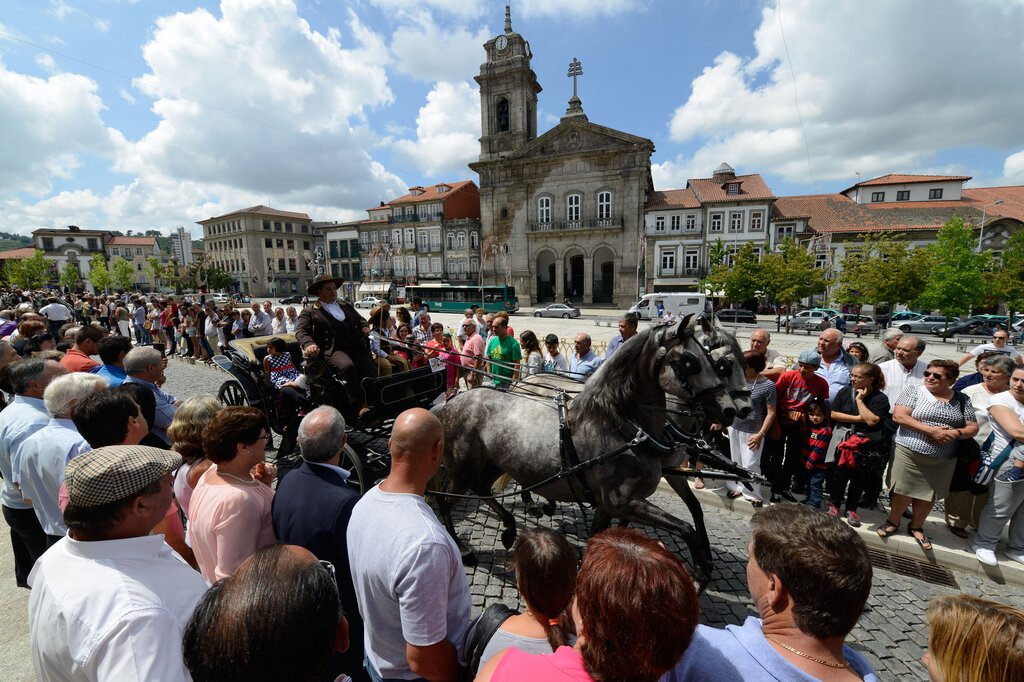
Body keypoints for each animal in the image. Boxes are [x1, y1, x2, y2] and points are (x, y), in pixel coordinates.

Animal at [432, 313, 753, 585]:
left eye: (714, 362)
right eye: (690, 362)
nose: (733, 409)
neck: (622, 425)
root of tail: (449, 403)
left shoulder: (611, 502)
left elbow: (603, 535)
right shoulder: (623, 501)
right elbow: (685, 527)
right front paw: (700, 568)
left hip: (491, 464)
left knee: (482, 488)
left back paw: (512, 526)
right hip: (462, 471)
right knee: (445, 501)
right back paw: (464, 547)